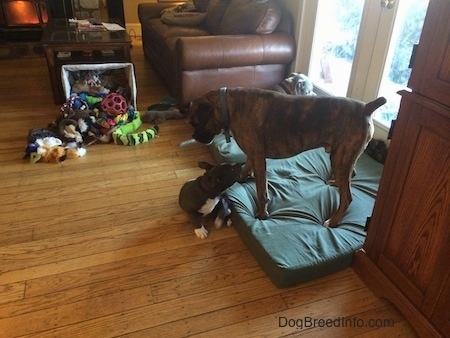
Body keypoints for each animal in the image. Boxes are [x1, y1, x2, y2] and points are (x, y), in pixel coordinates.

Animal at [188, 88, 384, 228]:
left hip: (340, 158)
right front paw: (241, 179)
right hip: (343, 157)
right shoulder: (253, 153)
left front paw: (262, 215)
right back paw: (335, 182)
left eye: (195, 123)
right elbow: (246, 167)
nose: (194, 136)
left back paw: (333, 221)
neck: (230, 106)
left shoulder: (258, 157)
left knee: (347, 197)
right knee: (351, 176)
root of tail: (366, 107)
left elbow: (261, 191)